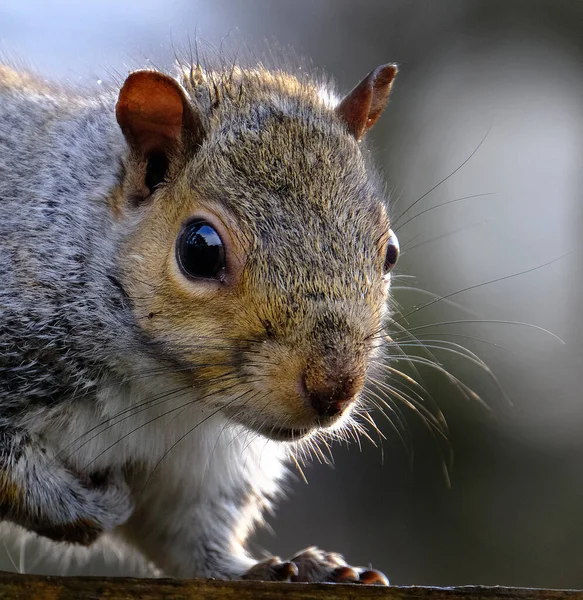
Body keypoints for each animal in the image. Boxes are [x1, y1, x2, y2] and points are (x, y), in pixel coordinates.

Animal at [0, 55, 400, 580]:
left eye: (390, 252)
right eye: (200, 250)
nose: (335, 388)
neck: (166, 391)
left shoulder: (196, 471)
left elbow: (188, 538)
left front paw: (275, 568)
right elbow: (11, 471)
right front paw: (87, 507)